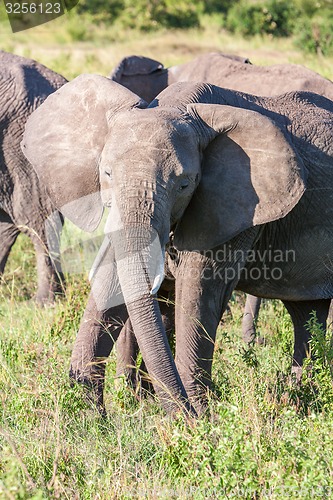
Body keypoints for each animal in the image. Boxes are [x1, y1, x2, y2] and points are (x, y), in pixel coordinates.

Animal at [22, 77, 332, 414]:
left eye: (184, 184)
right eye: (106, 173)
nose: (183, 414)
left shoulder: (238, 206)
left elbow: (198, 293)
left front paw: (199, 414)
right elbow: (111, 282)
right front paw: (87, 413)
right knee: (307, 315)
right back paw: (298, 398)